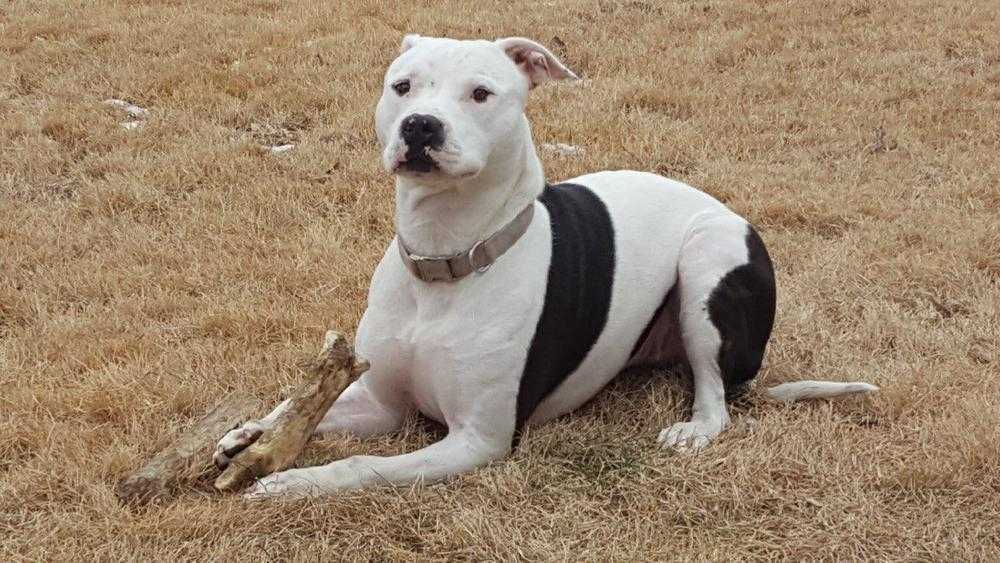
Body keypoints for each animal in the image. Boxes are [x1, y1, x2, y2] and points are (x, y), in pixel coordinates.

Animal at [213, 35, 876, 500]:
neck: (446, 259)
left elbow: (362, 466)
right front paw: (251, 433)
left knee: (716, 397)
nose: (420, 125)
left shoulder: (477, 441)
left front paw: (293, 482)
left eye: (481, 93)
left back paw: (692, 428)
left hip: (708, 262)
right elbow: (307, 414)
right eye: (402, 87)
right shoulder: (381, 402)